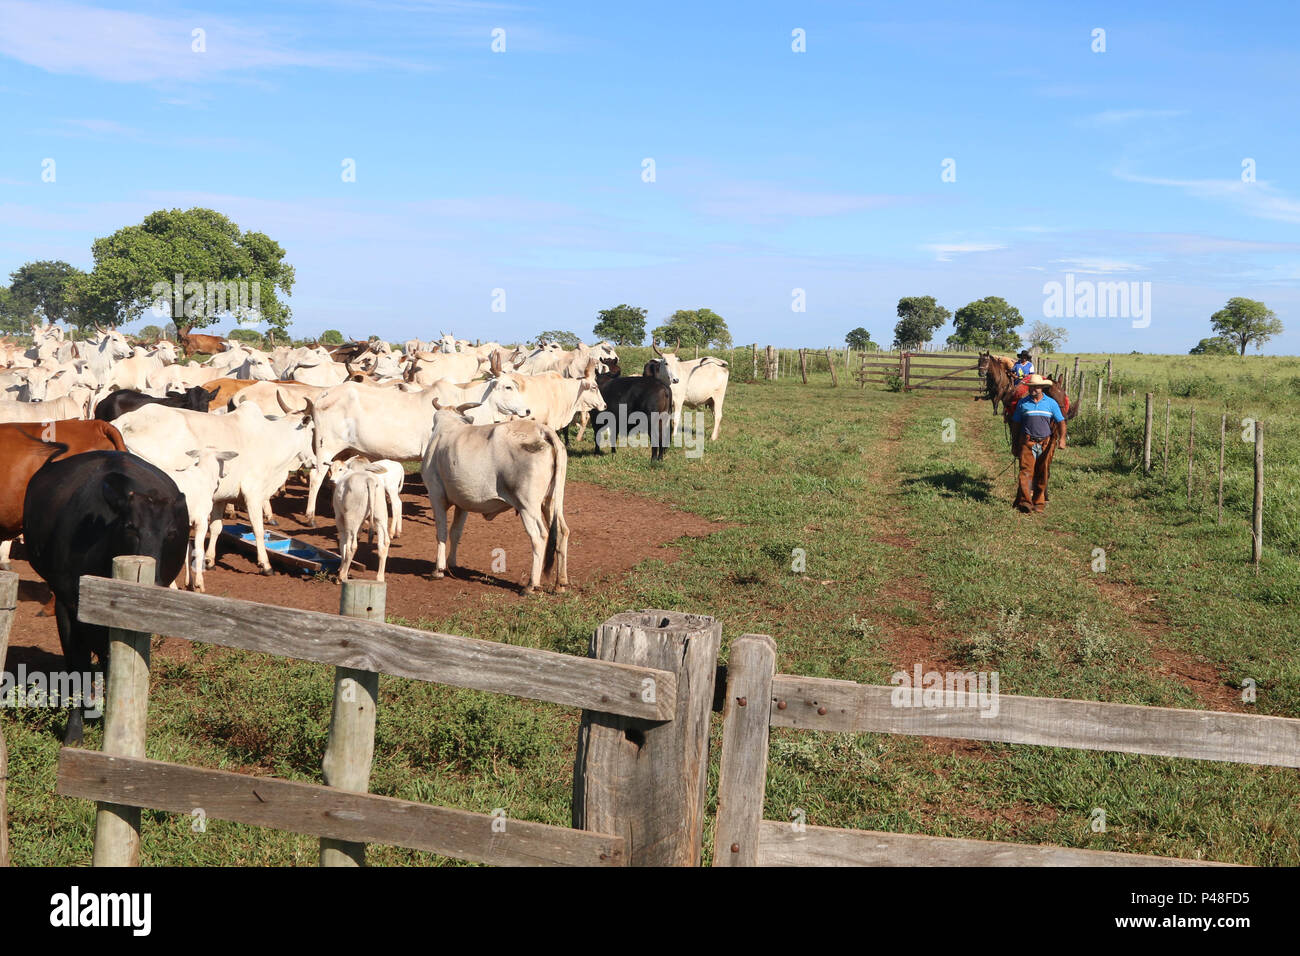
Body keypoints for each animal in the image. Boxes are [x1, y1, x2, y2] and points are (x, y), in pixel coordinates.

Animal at [22, 452, 189, 743]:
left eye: (171, 532)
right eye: (130, 526)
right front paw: (74, 732)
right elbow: (77, 666)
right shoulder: (67, 605)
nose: (155, 582)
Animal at [423, 403, 572, 595]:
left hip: (527, 506)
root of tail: (542, 430)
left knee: (539, 537)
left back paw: (531, 585)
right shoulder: (462, 502)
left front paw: (438, 570)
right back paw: (560, 583)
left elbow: (440, 532)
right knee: (562, 531)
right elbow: (455, 532)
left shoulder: (436, 494)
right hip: (551, 501)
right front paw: (451, 564)